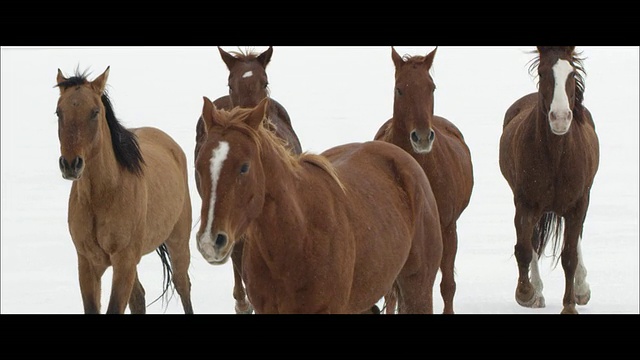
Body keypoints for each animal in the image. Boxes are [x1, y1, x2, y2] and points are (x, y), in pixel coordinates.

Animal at [55, 67, 192, 316]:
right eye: (59, 112)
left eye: (95, 112)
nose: (70, 164)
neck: (103, 196)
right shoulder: (88, 263)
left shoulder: (124, 260)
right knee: (139, 298)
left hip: (178, 242)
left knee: (182, 285)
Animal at [500, 46, 600, 314]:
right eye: (542, 73)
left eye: (571, 73)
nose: (560, 118)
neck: (556, 158)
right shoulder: (525, 203)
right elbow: (524, 248)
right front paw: (526, 293)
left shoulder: (578, 205)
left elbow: (570, 256)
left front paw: (570, 304)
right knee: (533, 241)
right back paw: (537, 291)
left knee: (575, 240)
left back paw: (581, 289)